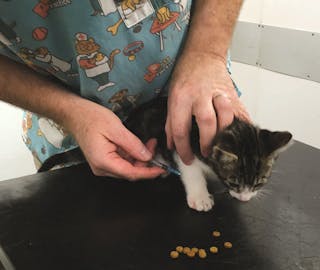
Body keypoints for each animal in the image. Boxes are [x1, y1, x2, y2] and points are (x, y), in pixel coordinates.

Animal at [125, 96, 292, 211]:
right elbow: (192, 172)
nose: (244, 199)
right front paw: (200, 198)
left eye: (258, 183)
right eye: (233, 183)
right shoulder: (183, 145)